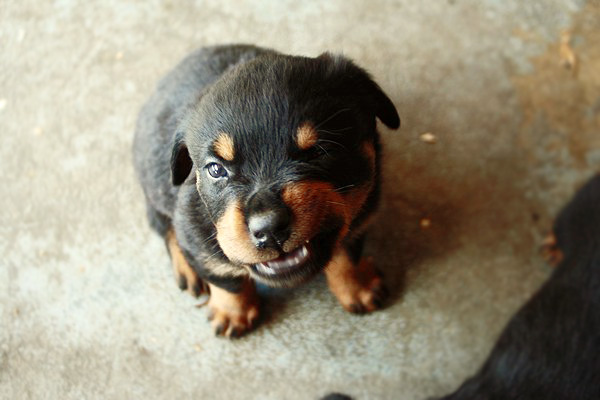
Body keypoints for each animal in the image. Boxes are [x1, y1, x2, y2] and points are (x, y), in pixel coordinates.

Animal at [131, 44, 398, 338]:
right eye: (215, 169)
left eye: (320, 150)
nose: (268, 228)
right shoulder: (193, 231)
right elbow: (225, 278)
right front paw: (231, 313)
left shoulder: (364, 211)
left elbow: (347, 254)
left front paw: (358, 286)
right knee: (163, 226)